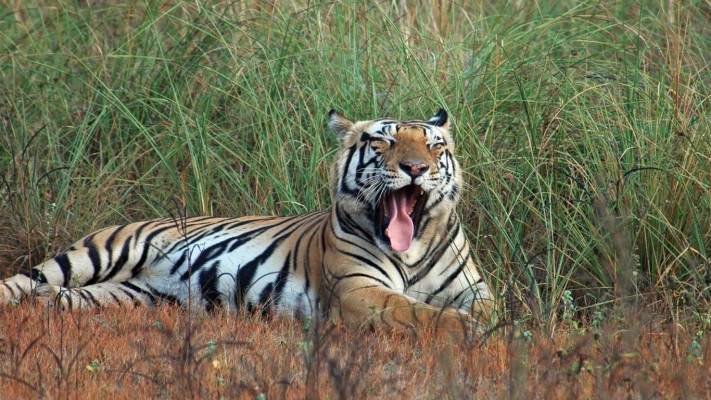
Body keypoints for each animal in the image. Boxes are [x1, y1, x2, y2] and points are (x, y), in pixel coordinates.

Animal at [0, 109, 492, 340]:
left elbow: (487, 309)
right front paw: (463, 329)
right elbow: (408, 308)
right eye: (383, 142)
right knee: (25, 280)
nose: (415, 168)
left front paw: (482, 326)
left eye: (434, 146)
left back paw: (48, 303)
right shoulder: (357, 288)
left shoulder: (473, 288)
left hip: (135, 296)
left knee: (66, 297)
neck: (414, 246)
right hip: (100, 252)